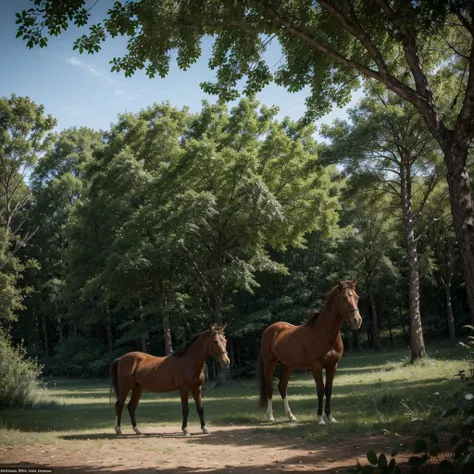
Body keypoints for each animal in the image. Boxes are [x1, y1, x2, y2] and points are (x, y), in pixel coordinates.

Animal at [258, 280, 362, 424]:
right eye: (343, 298)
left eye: (357, 297)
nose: (357, 320)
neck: (324, 333)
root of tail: (269, 330)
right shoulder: (316, 366)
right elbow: (320, 391)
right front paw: (320, 419)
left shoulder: (332, 366)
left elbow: (328, 391)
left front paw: (331, 417)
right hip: (270, 363)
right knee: (270, 387)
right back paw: (271, 416)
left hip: (287, 365)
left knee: (282, 387)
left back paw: (291, 416)